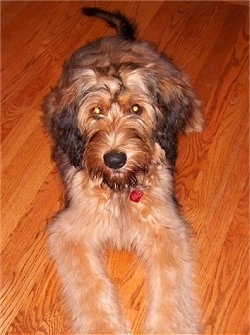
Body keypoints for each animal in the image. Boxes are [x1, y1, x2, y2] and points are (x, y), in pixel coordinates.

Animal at [44, 6, 204, 334]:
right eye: (96, 111)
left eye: (136, 110)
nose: (115, 159)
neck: (119, 188)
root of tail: (119, 39)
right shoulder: (71, 231)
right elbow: (91, 286)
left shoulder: (166, 227)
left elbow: (170, 286)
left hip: (167, 68)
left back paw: (192, 117)